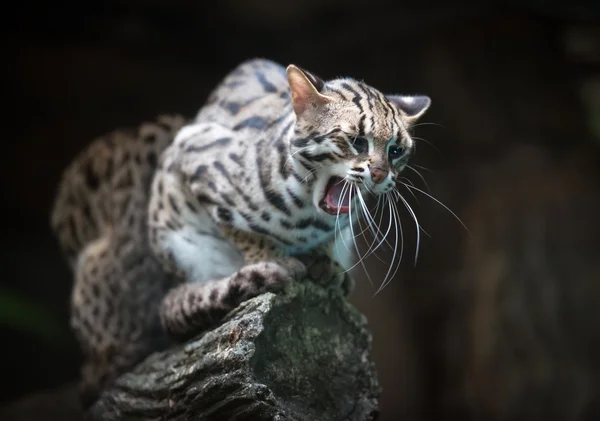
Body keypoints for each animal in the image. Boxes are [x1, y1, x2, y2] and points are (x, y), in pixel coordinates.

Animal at [49, 57, 428, 406]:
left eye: (396, 151)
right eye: (356, 141)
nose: (380, 174)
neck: (308, 214)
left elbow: (330, 238)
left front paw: (324, 262)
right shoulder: (194, 159)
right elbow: (240, 230)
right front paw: (270, 259)